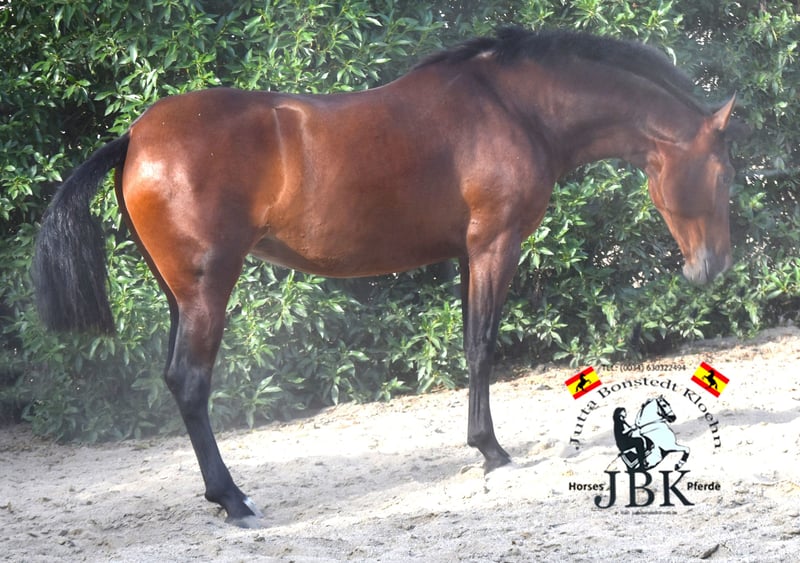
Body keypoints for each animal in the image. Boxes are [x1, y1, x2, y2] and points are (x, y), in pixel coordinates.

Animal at [33, 27, 743, 527]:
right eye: (723, 173)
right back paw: (234, 500)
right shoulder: (495, 245)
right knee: (190, 381)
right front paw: (492, 452)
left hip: (180, 294)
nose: (711, 268)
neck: (513, 107)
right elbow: (482, 346)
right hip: (209, 289)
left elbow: (470, 344)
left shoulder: (468, 253)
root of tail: (134, 138)